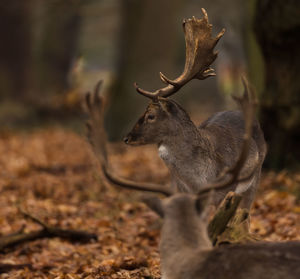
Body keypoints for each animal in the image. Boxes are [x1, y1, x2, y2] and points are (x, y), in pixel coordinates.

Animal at [85, 79, 300, 279]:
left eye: (150, 116)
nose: (127, 138)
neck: (200, 175)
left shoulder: (223, 193)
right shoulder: (180, 189)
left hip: (255, 179)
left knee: (246, 219)